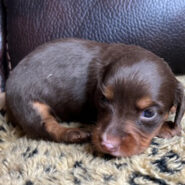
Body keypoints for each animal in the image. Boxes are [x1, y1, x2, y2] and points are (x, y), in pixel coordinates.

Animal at [5, 38, 184, 157]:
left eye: (149, 113)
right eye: (103, 100)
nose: (107, 145)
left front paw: (172, 110)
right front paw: (166, 127)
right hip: (30, 106)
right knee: (47, 128)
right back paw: (76, 133)